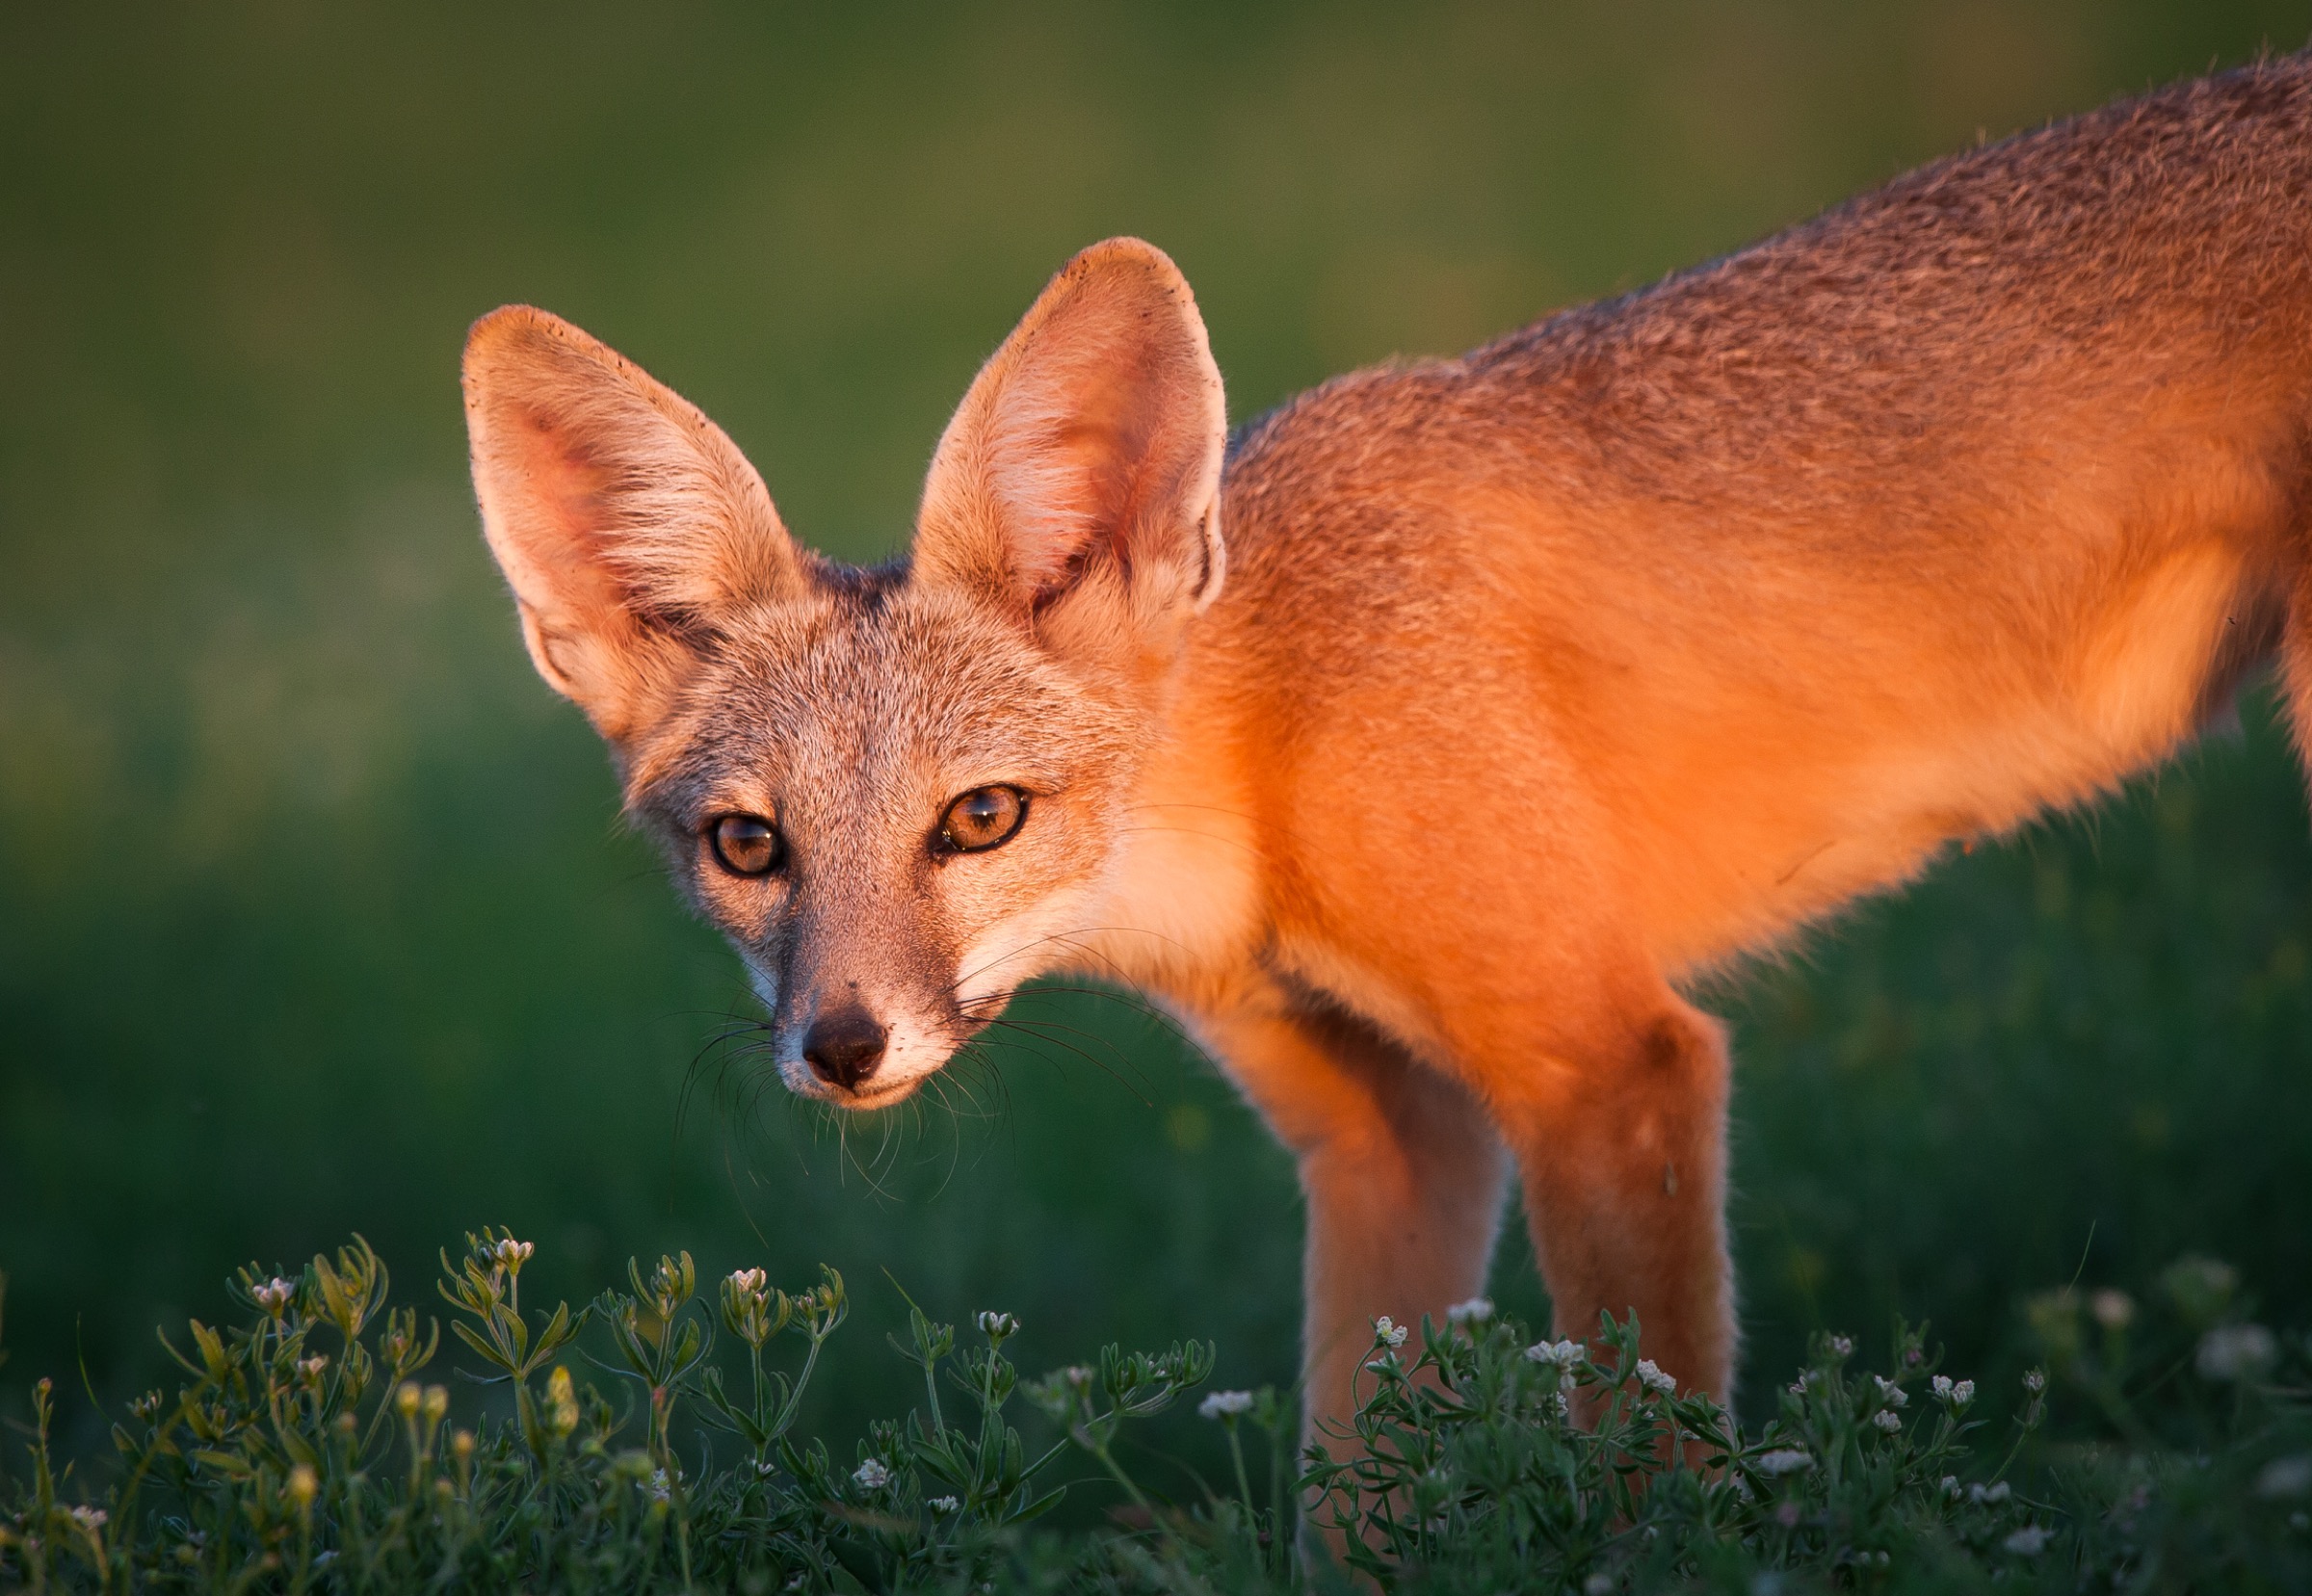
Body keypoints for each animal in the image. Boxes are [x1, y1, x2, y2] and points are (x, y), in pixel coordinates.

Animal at [464, 52, 2312, 1444]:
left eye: (979, 818)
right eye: (748, 846)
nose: (842, 1047)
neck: (1277, 751)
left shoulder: (1608, 1062)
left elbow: (1646, 1462)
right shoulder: (1392, 1144)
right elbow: (1353, 1493)